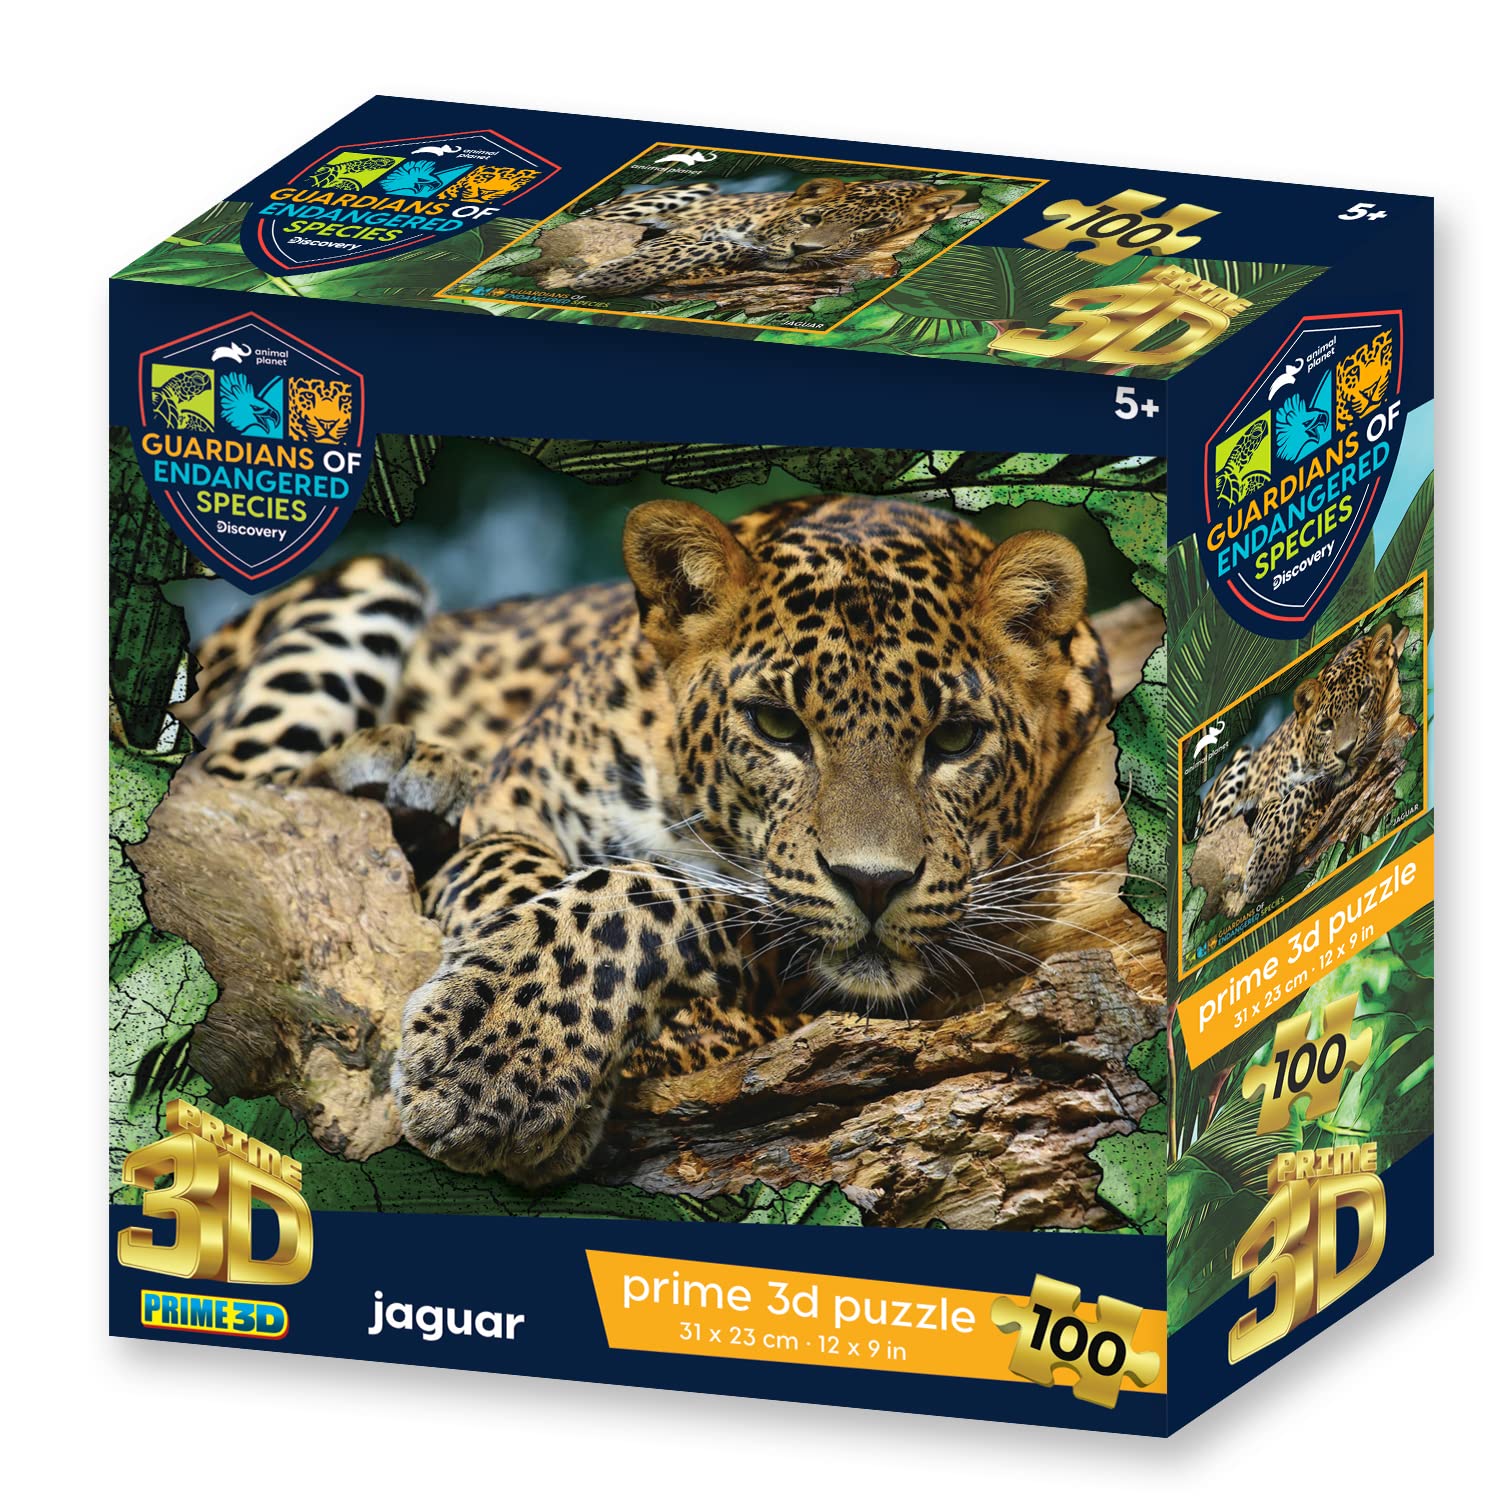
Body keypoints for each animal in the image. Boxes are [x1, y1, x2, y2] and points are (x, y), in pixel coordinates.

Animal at [178, 495, 1113, 1186]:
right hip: (370, 589)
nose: (874, 883)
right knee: (229, 784)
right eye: (777, 726)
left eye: (955, 739)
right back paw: (399, 767)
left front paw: (510, 1064)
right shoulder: (513, 805)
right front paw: (497, 1055)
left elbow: (645, 894)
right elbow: (534, 885)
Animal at [537, 177, 968, 297]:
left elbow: (722, 248)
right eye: (811, 218)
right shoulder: (695, 228)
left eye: (865, 228)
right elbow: (682, 245)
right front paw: (612, 275)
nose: (803, 250)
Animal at [1195, 619, 1410, 913]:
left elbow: (1301, 792)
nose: (1346, 751)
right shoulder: (1269, 797)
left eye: (1365, 697)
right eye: (1325, 724)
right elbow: (1281, 808)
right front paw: (1266, 868)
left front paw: (1265, 866)